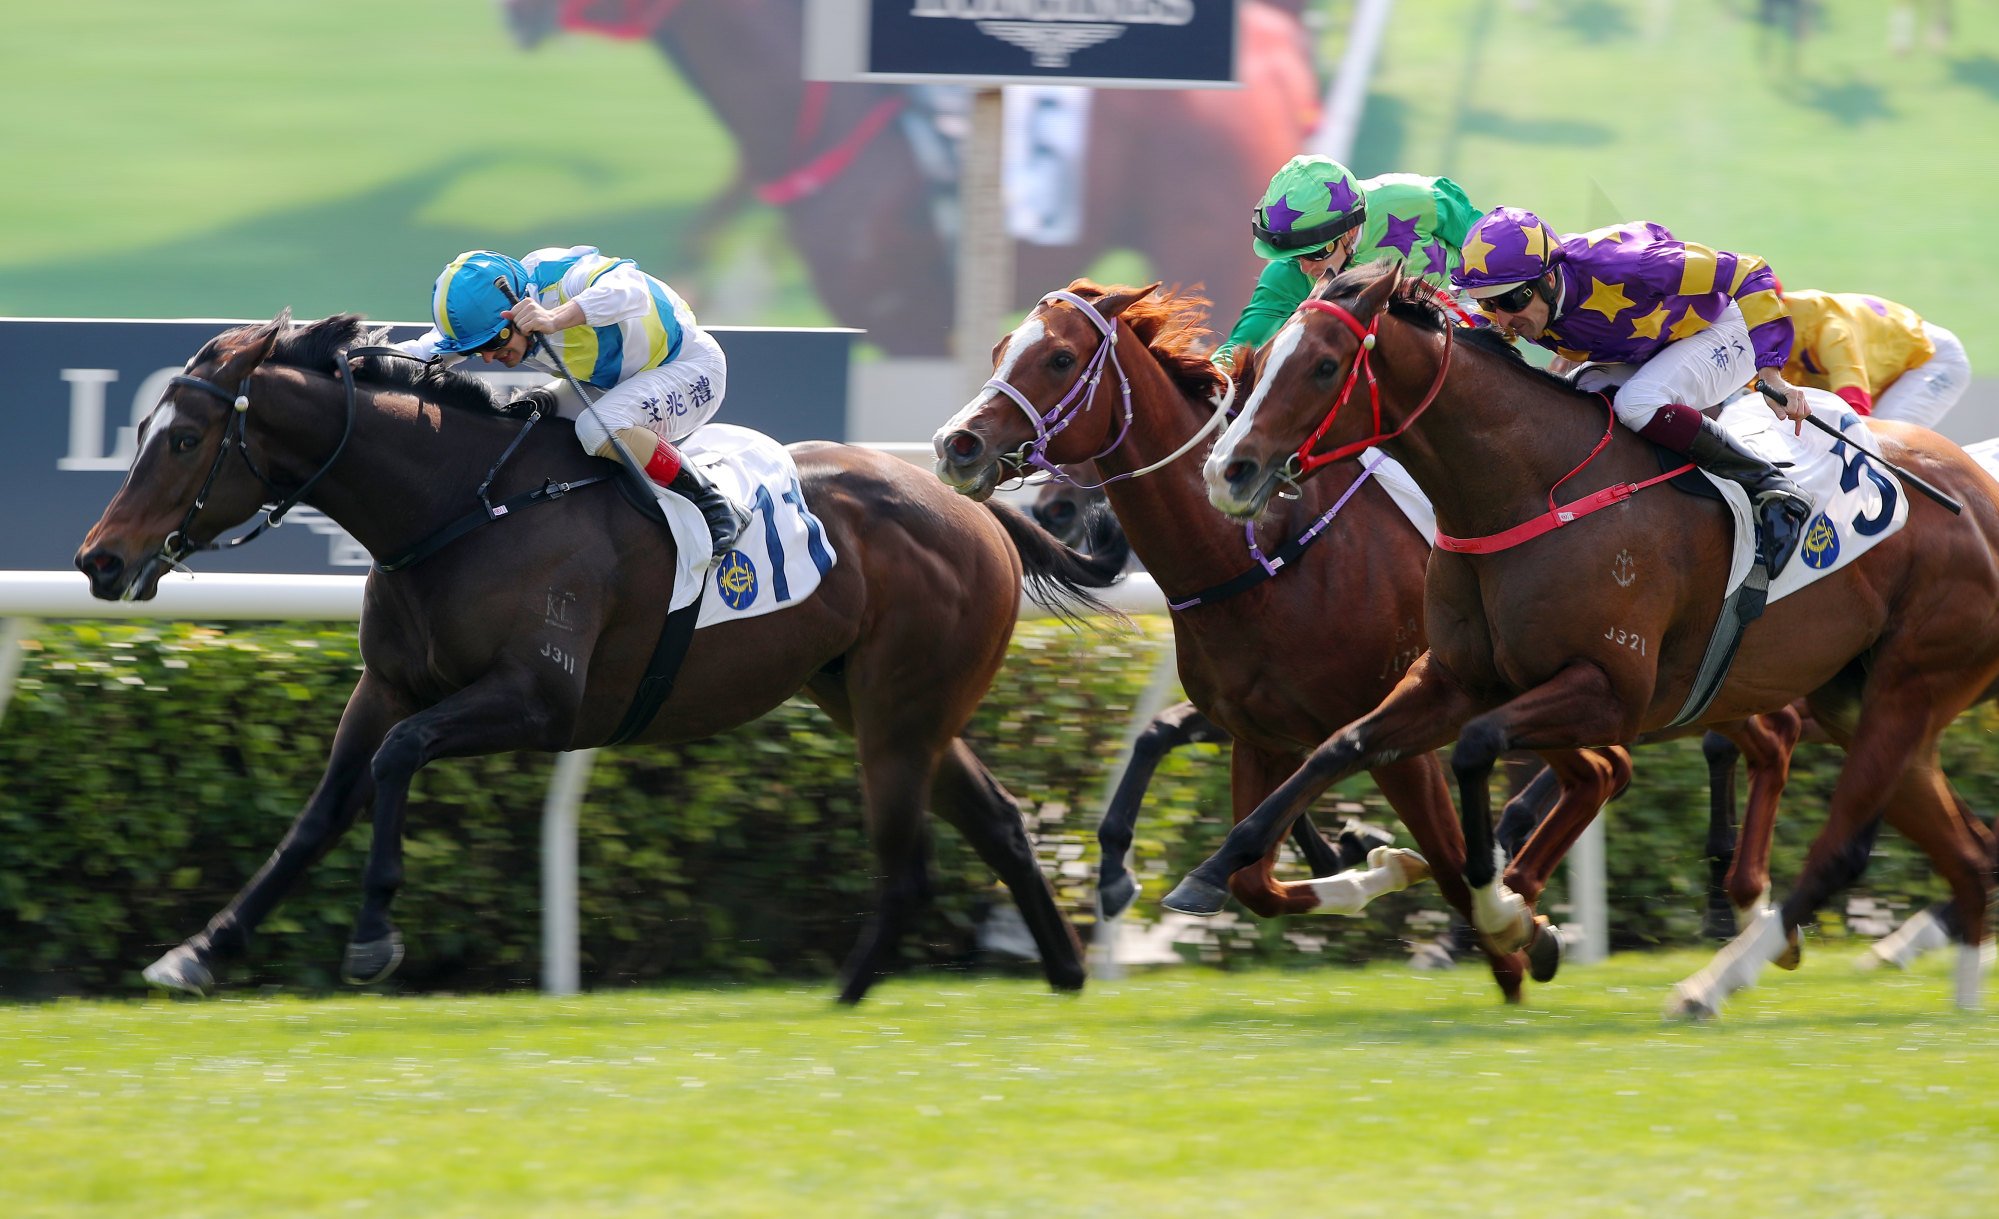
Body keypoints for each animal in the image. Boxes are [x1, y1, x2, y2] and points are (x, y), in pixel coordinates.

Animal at [73, 307, 1111, 1003]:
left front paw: (373, 936)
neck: (462, 505)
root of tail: (975, 510)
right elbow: (322, 809)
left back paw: (851, 992)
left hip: (899, 708)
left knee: (913, 852)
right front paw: (199, 951)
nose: (99, 560)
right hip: (872, 696)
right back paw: (1060, 971)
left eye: (185, 438)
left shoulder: (540, 700)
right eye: (142, 430)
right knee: (998, 818)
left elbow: (400, 757)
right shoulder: (389, 683)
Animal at [1167, 265, 1999, 1015]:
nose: (1226, 471)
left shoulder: (1610, 691)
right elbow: (1340, 746)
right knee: (1964, 849)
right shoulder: (1452, 677)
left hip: (1909, 684)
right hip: (1854, 696)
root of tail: (1978, 489)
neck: (1527, 487)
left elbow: (1476, 748)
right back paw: (1952, 987)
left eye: (1323, 365)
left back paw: (1710, 984)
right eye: (1257, 360)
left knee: (1842, 848)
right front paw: (1216, 868)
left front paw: (1507, 916)